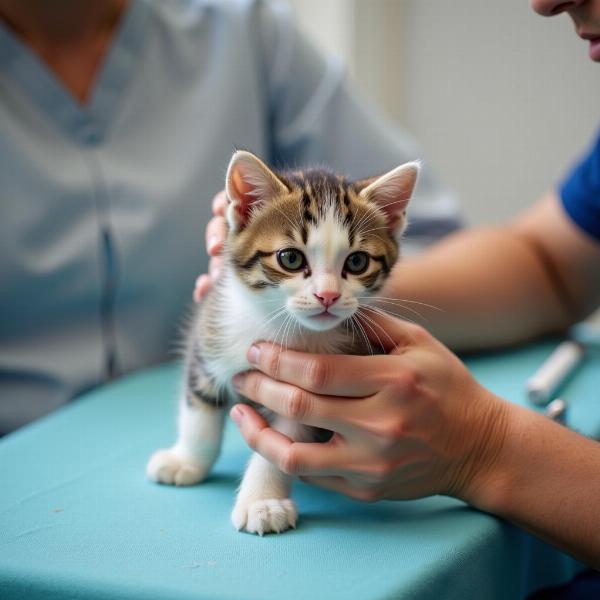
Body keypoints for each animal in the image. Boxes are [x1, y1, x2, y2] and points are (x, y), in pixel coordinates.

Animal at [146, 150, 420, 536]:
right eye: (290, 258)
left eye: (357, 261)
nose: (327, 296)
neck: (280, 326)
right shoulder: (210, 333)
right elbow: (199, 410)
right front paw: (186, 460)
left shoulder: (308, 396)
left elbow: (281, 445)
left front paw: (262, 502)